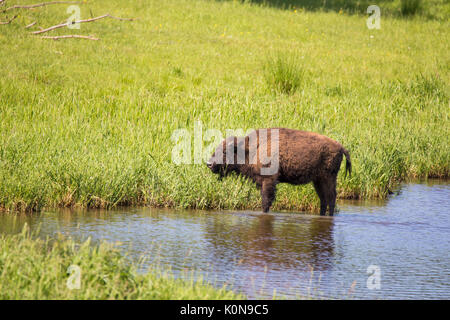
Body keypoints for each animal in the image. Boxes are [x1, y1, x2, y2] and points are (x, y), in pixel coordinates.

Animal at [207, 129, 352, 216]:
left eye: (225, 151)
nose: (209, 163)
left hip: (328, 178)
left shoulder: (268, 180)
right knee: (323, 199)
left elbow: (266, 201)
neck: (251, 148)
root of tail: (340, 147)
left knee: (331, 197)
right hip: (318, 180)